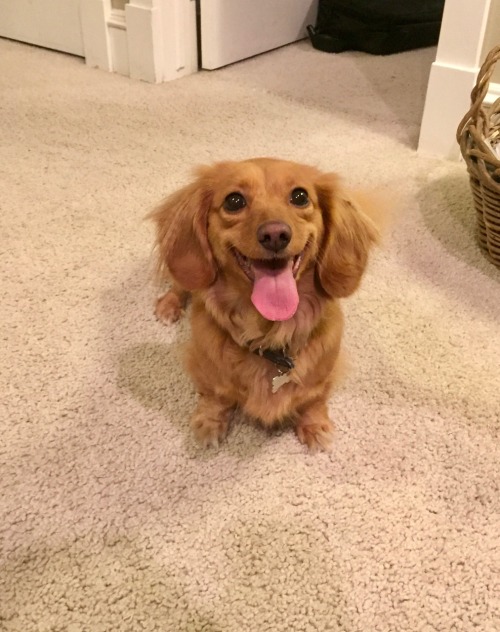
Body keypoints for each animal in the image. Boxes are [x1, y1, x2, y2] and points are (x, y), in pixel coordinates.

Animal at [150, 160, 380, 452]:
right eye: (234, 201)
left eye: (300, 196)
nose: (275, 235)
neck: (269, 333)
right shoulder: (205, 366)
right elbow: (215, 396)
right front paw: (210, 423)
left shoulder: (323, 372)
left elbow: (314, 399)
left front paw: (315, 425)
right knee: (180, 285)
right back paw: (169, 305)